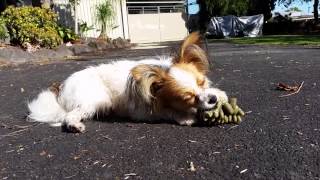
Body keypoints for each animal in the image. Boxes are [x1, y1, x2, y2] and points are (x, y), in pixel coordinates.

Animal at [26, 32, 228, 132]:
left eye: (202, 83)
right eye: (188, 97)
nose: (212, 100)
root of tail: (61, 89)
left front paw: (219, 93)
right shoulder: (142, 112)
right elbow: (167, 111)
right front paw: (185, 116)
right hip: (96, 99)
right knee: (69, 116)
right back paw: (74, 125)